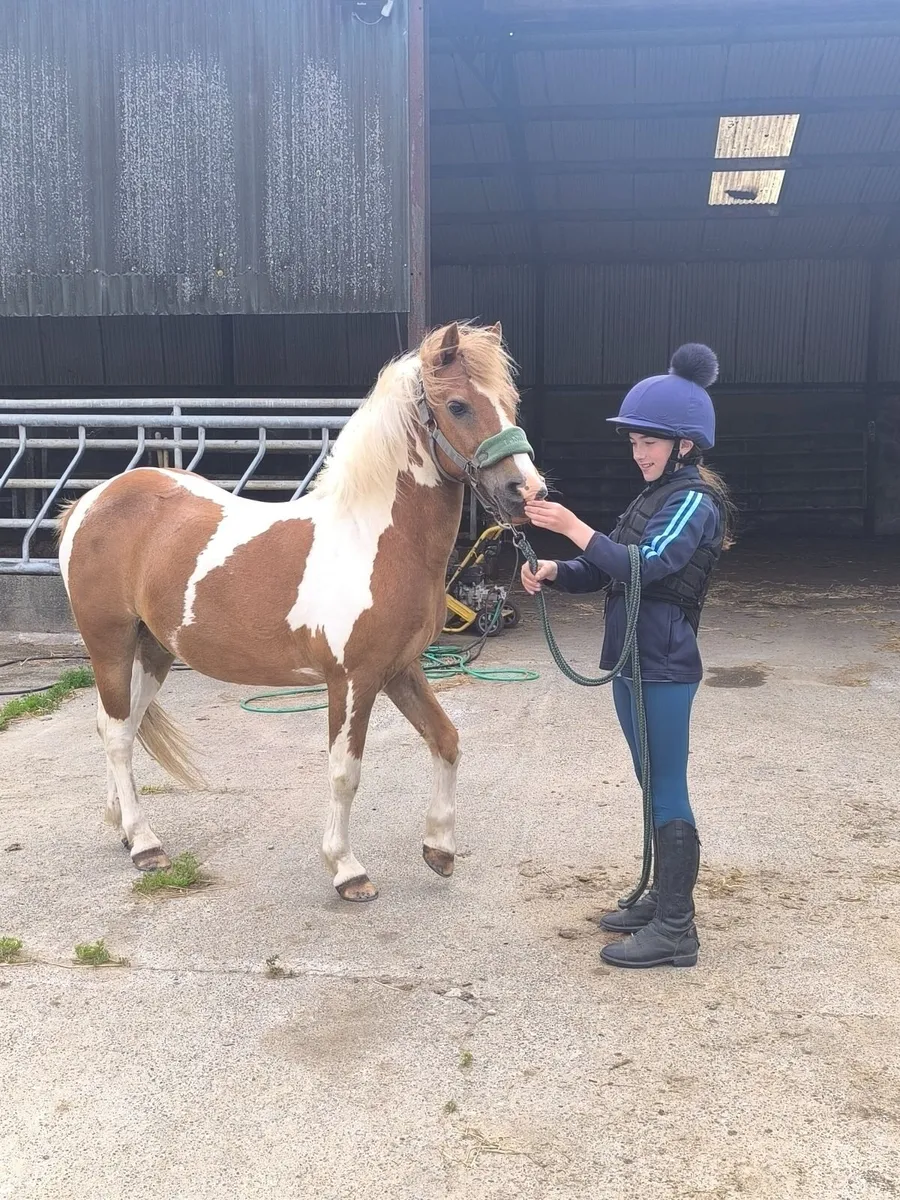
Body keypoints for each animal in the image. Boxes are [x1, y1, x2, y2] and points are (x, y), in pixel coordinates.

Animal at [56, 321, 547, 901]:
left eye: (510, 402)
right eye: (458, 406)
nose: (527, 491)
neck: (374, 540)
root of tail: (88, 503)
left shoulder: (400, 668)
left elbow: (446, 740)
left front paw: (440, 850)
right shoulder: (352, 680)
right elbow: (344, 771)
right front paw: (347, 870)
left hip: (152, 649)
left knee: (124, 728)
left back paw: (124, 830)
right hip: (108, 642)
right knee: (115, 734)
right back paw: (146, 844)